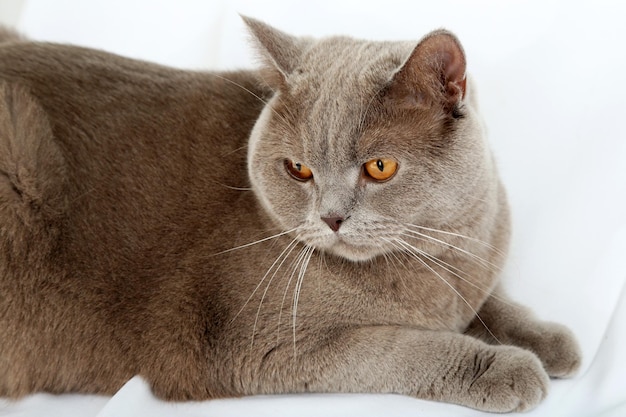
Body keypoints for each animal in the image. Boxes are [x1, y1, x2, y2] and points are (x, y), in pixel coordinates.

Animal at [0, 17, 580, 412]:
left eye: (380, 167)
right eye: (299, 168)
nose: (331, 217)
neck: (432, 265)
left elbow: (493, 303)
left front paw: (552, 340)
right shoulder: (259, 344)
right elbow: (404, 346)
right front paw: (505, 367)